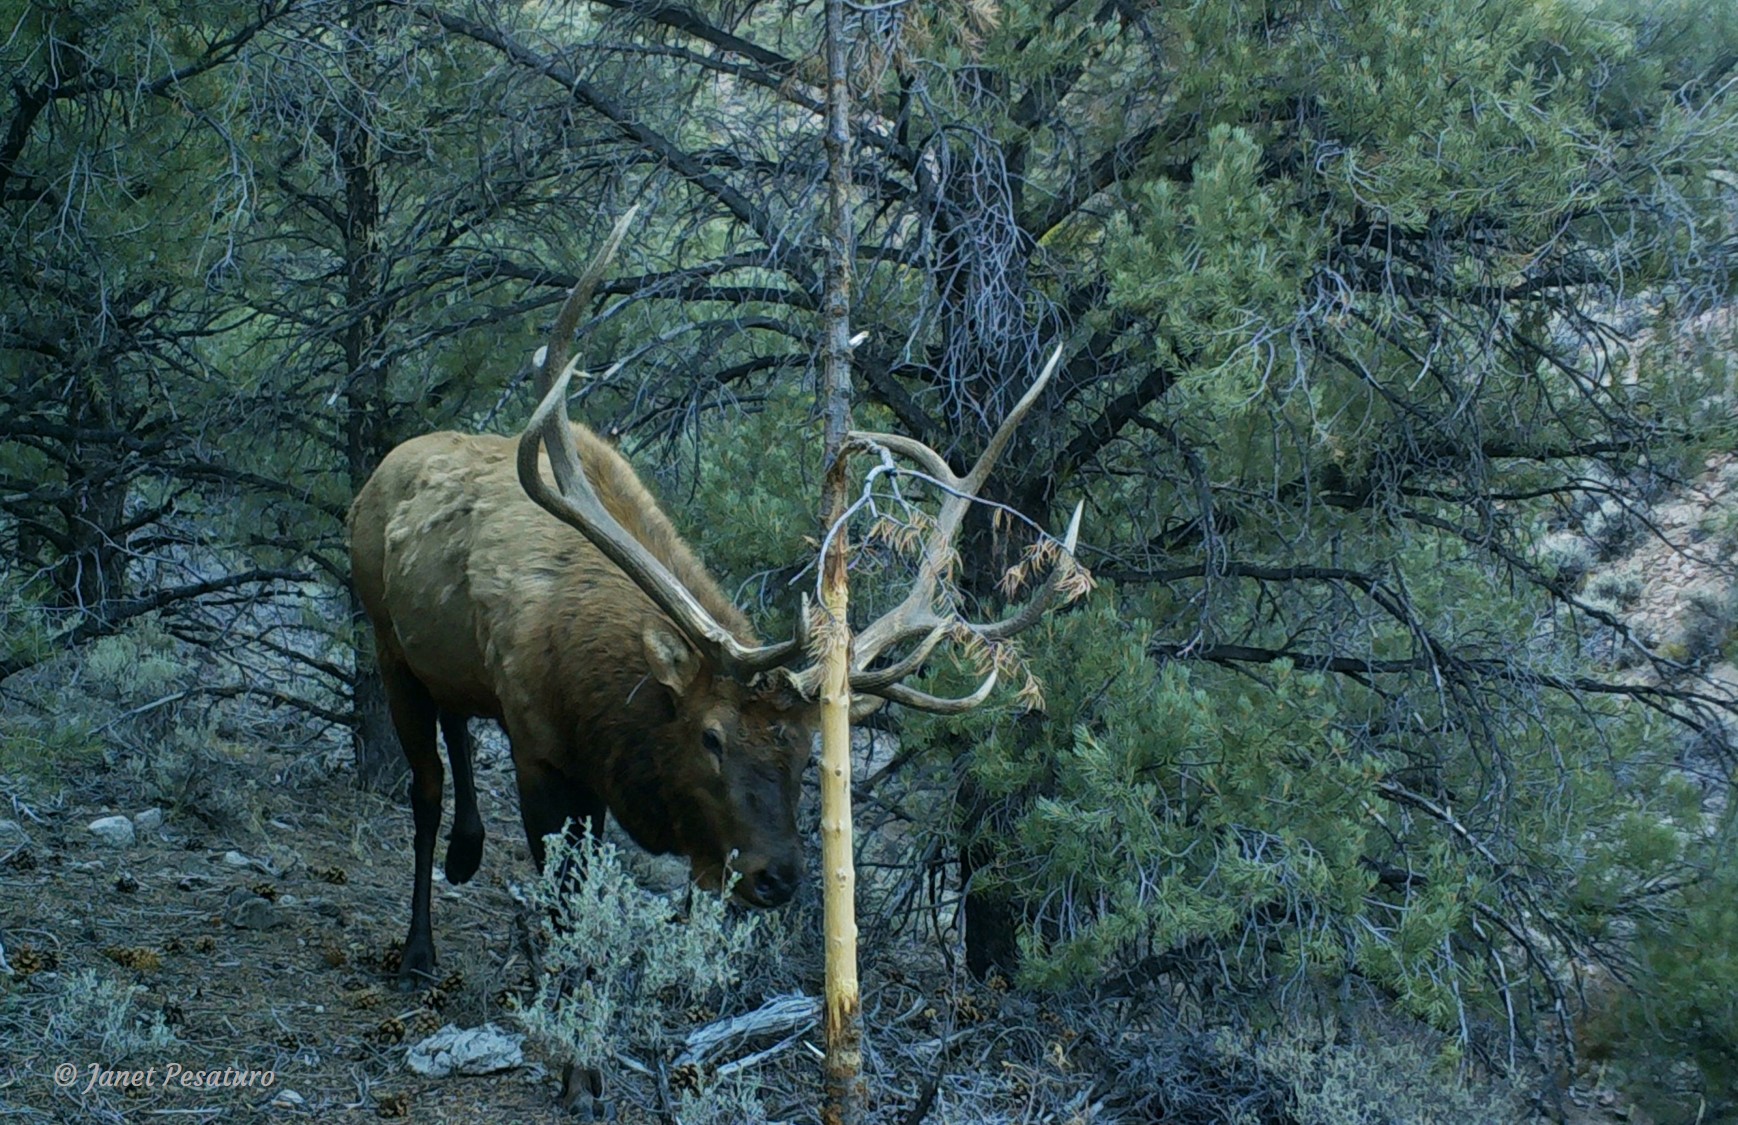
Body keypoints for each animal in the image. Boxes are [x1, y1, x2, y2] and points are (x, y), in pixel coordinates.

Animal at [345, 213, 1077, 1001]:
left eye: (807, 749)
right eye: (711, 737)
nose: (778, 876)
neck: (583, 679)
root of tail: (375, 476)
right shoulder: (537, 743)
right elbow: (565, 898)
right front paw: (568, 993)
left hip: (441, 658)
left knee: (453, 718)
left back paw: (468, 850)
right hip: (385, 639)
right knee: (424, 784)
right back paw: (419, 946)